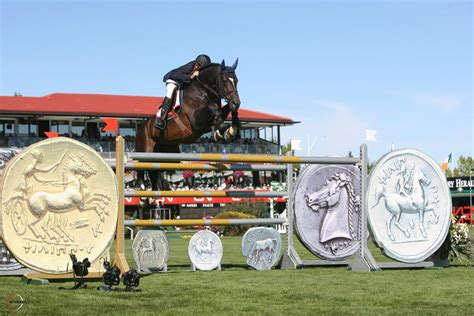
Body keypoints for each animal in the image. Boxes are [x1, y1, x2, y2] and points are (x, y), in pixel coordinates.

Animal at [136, 59, 241, 193]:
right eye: (224, 80)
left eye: (236, 80)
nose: (236, 103)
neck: (202, 90)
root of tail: (142, 126)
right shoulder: (196, 121)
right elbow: (211, 107)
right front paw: (223, 131)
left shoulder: (206, 124)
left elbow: (224, 112)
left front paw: (229, 130)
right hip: (145, 151)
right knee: (143, 169)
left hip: (162, 153)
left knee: (154, 173)